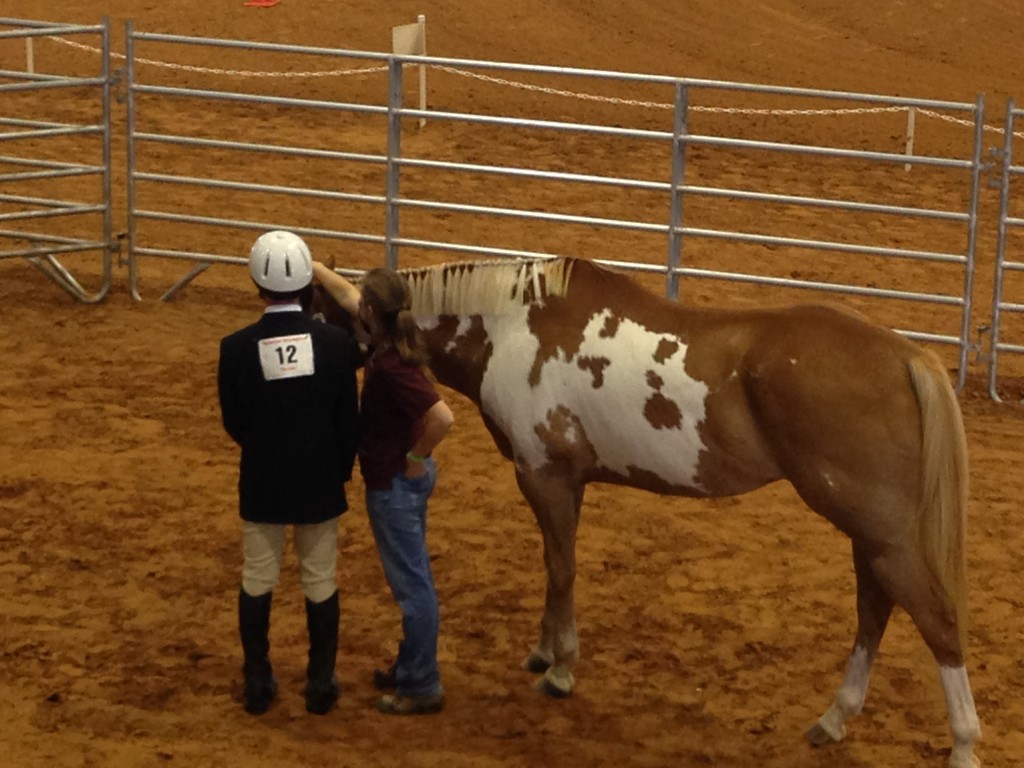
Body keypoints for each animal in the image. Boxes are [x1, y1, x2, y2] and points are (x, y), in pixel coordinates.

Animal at [312, 256, 980, 767]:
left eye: (321, 314)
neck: (510, 329)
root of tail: (902, 356)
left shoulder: (544, 477)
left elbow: (561, 569)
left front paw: (559, 670)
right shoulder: (564, 483)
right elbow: (556, 567)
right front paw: (545, 652)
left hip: (884, 534)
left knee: (939, 620)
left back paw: (963, 745)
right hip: (870, 532)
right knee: (874, 611)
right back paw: (835, 718)